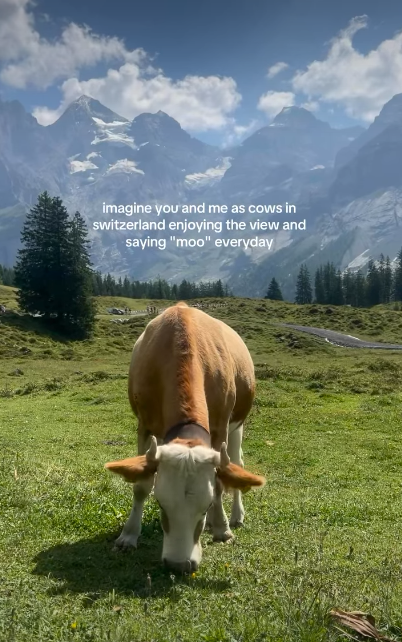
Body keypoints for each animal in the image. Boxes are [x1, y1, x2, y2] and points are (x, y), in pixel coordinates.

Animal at [105, 302, 265, 573]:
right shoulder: (144, 425)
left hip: (238, 424)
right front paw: (129, 535)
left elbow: (220, 483)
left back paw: (235, 515)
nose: (179, 565)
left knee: (237, 463)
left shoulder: (221, 427)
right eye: (161, 504)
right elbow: (141, 485)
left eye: (206, 505)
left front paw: (222, 528)